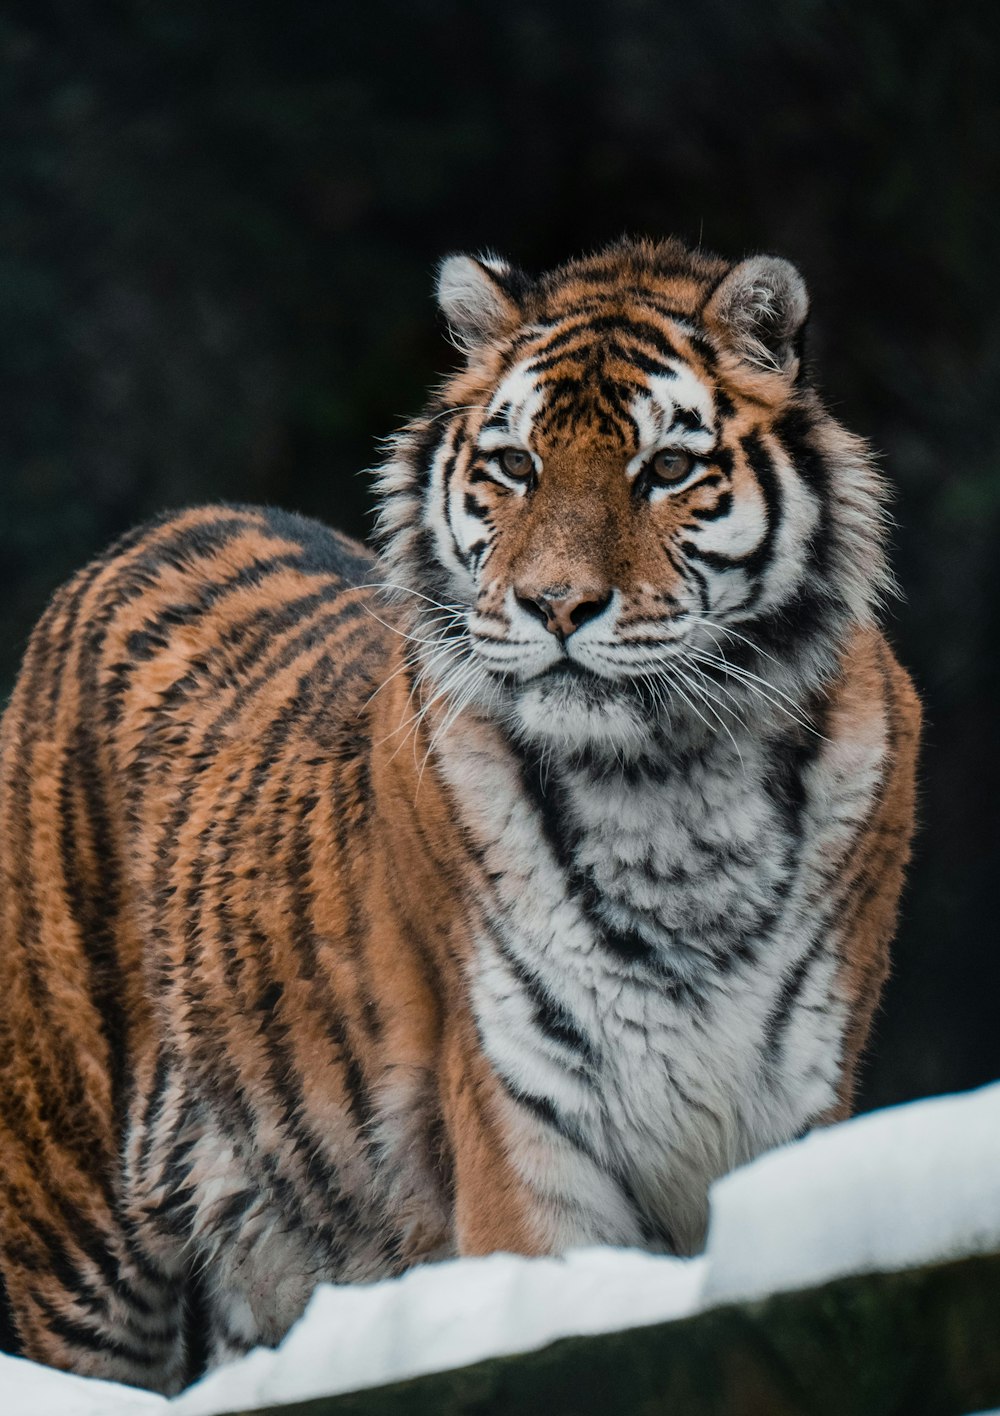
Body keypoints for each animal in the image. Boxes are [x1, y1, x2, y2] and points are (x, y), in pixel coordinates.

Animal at [0, 235, 917, 1393]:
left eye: (667, 470)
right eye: (515, 465)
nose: (556, 605)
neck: (669, 786)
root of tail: (157, 527)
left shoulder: (791, 1111)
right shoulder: (526, 1127)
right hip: (78, 1241)